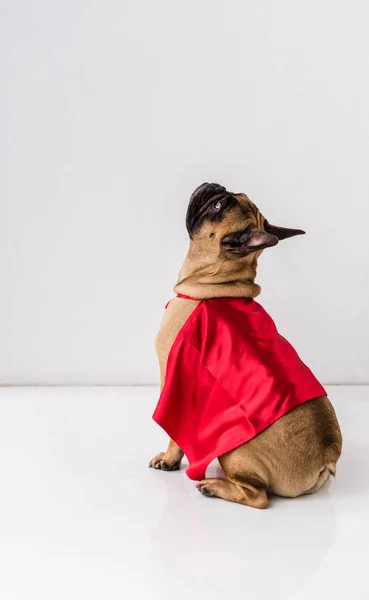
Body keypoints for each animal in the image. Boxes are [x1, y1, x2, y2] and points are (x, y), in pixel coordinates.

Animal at [148, 182, 340, 506]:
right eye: (227, 197)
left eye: (218, 206)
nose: (216, 187)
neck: (217, 285)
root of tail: (328, 457)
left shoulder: (173, 379)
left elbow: (175, 432)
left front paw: (170, 459)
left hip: (234, 451)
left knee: (257, 496)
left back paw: (214, 486)